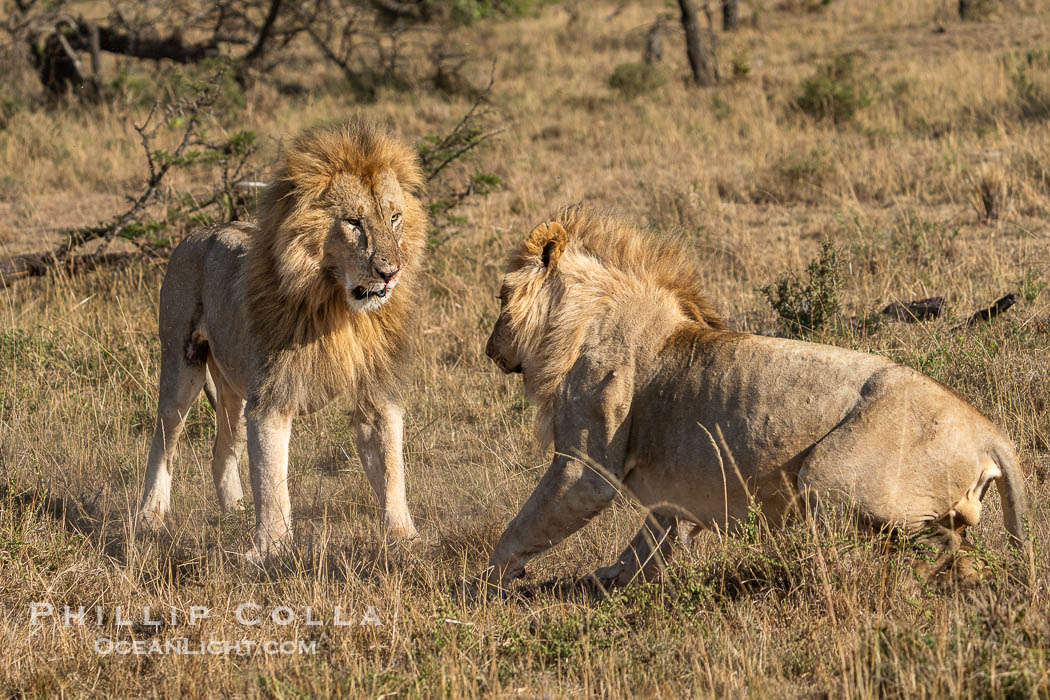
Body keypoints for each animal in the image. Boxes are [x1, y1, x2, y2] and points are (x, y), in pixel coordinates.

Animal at [140, 121, 426, 558]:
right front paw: (269, 552)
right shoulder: (272, 397)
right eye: (353, 222)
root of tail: (201, 231)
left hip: (236, 389)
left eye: (394, 218)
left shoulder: (376, 392)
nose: (390, 272)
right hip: (180, 360)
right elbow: (273, 482)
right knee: (164, 438)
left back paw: (234, 515)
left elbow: (393, 471)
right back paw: (150, 517)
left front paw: (404, 539)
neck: (339, 309)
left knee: (221, 451)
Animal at [476, 210, 1033, 596]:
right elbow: (647, 546)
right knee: (958, 553)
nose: (489, 349)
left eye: (501, 296)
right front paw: (605, 582)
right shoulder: (671, 500)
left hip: (829, 478)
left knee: (906, 556)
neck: (580, 321)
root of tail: (991, 433)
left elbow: (526, 524)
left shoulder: (584, 468)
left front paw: (481, 586)